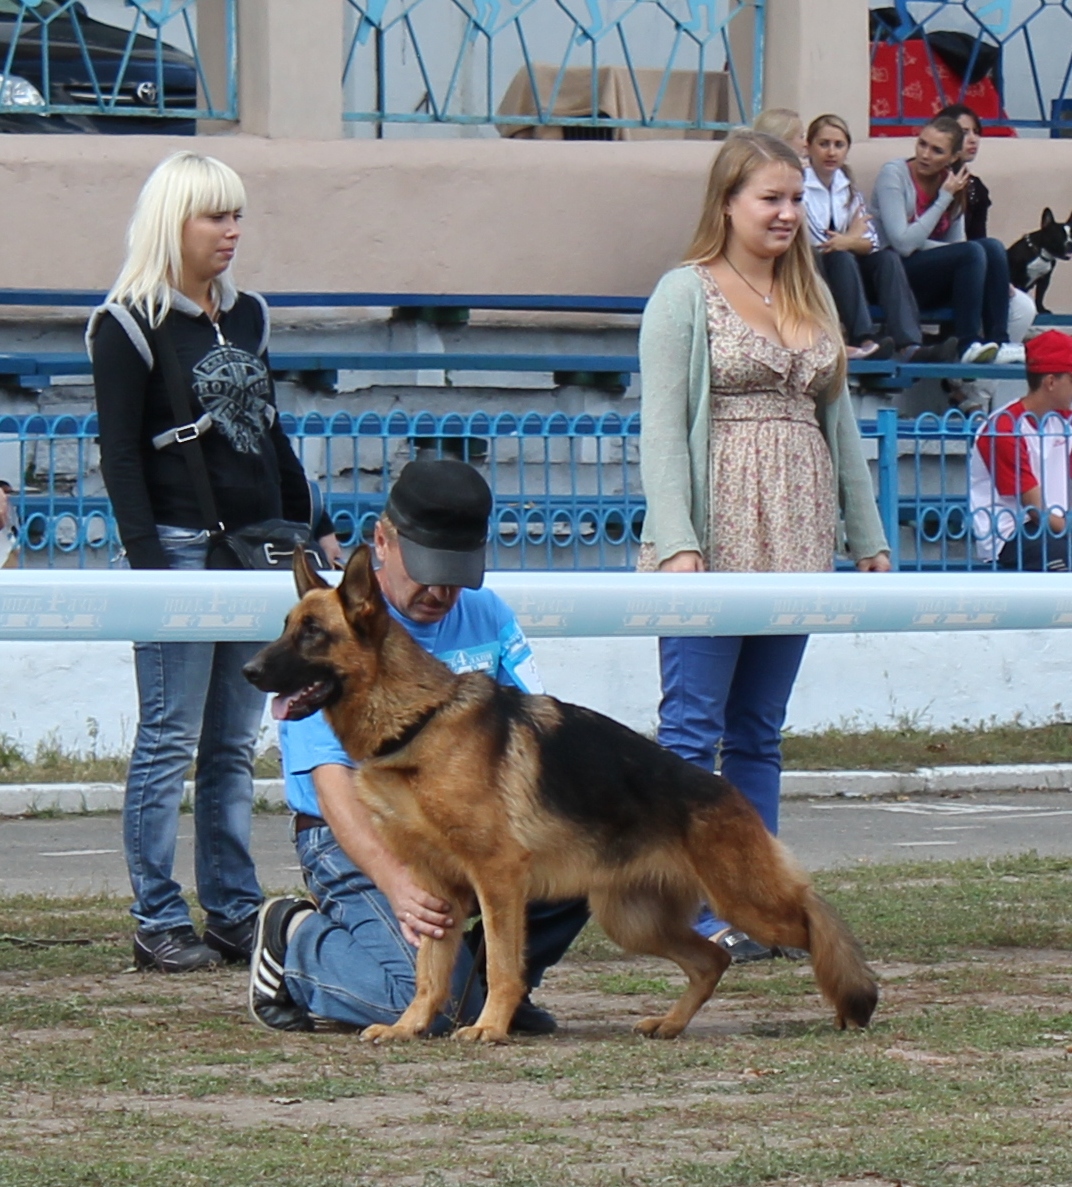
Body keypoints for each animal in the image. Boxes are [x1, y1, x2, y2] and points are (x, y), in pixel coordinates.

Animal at [245, 546, 878, 1039]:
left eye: (312, 633)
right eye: (284, 626)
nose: (250, 671)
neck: (418, 721)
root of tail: (728, 790)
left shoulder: (498, 877)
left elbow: (503, 964)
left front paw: (489, 1027)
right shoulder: (435, 893)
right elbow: (428, 972)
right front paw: (410, 1026)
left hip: (744, 901)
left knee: (811, 915)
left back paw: (850, 998)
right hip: (631, 919)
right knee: (712, 958)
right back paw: (672, 1023)